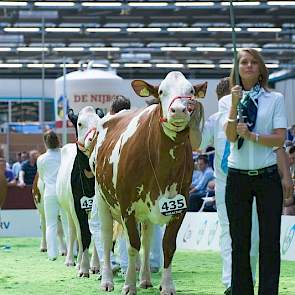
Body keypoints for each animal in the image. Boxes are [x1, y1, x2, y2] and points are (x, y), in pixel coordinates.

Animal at [56, 106, 103, 278]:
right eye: (80, 123)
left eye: (100, 122)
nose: (94, 138)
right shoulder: (77, 206)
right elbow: (84, 234)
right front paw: (83, 268)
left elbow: (96, 235)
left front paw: (95, 266)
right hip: (66, 209)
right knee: (73, 232)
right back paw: (72, 261)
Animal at [92, 70, 208, 294]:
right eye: (161, 91)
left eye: (190, 91)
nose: (178, 110)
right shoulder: (127, 206)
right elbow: (132, 245)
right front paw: (129, 285)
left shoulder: (179, 206)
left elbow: (167, 246)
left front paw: (167, 285)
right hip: (102, 199)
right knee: (106, 237)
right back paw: (107, 280)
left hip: (145, 211)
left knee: (146, 237)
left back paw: (145, 279)